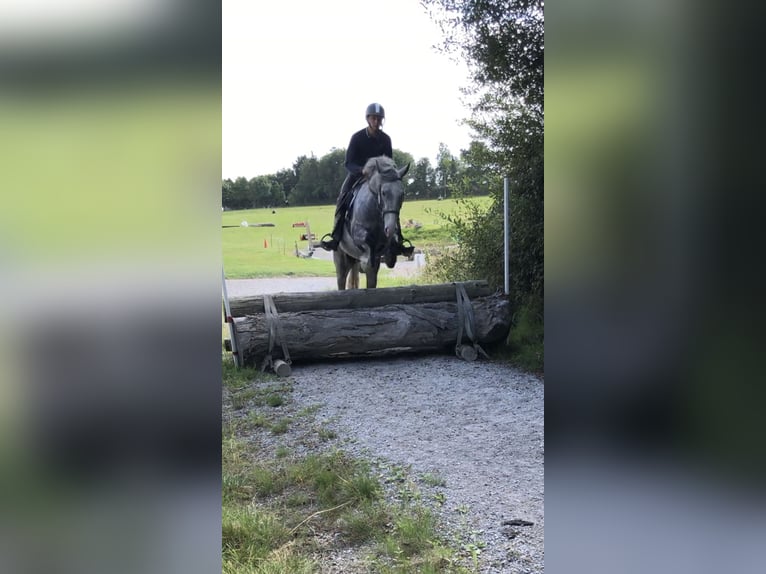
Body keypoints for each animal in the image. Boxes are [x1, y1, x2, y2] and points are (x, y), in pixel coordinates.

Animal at [332, 155, 412, 290]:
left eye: (402, 194)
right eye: (384, 193)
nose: (390, 229)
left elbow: (390, 253)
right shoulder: (359, 236)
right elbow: (366, 245)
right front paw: (366, 260)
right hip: (341, 260)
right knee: (341, 280)